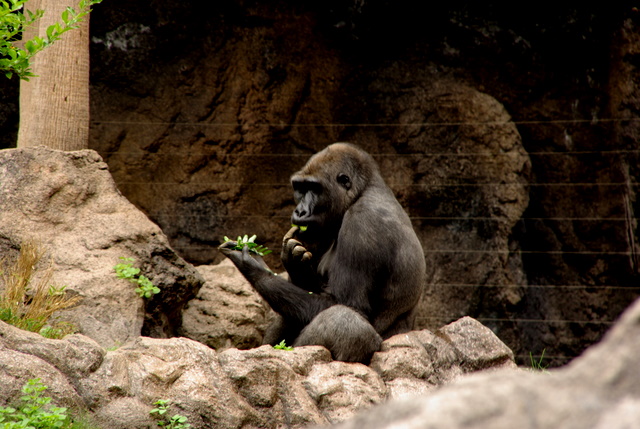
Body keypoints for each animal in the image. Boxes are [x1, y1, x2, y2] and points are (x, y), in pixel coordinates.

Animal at [220, 143, 424, 362]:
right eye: (300, 188)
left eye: (314, 188)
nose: (299, 211)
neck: (364, 191)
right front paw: (295, 263)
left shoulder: (362, 223)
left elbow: (347, 305)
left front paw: (255, 268)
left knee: (343, 320)